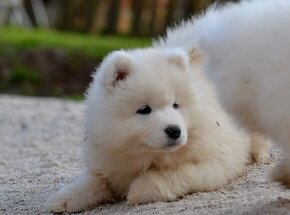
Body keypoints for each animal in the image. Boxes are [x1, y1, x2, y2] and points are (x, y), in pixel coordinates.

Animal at [46, 34, 268, 212]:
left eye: (175, 105)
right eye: (144, 109)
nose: (174, 131)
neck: (147, 156)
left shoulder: (216, 161)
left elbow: (178, 173)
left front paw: (140, 189)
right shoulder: (107, 163)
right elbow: (92, 180)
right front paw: (64, 199)